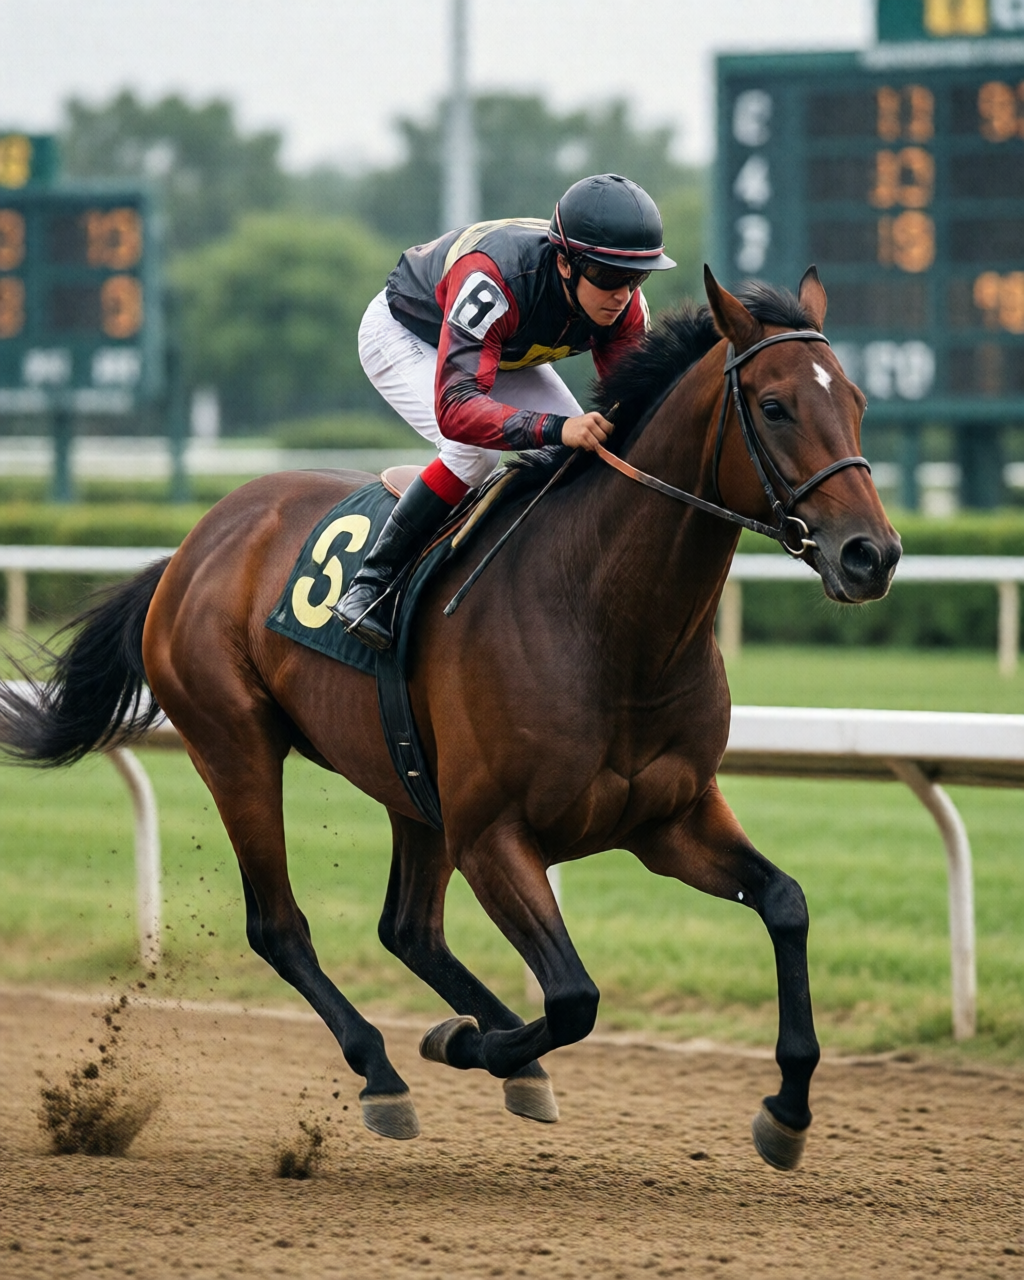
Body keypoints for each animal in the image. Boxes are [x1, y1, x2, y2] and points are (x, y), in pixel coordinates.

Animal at [0, 267, 900, 1170]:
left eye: (857, 399)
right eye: (776, 406)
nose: (873, 554)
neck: (608, 620)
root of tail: (191, 547)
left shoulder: (668, 818)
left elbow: (785, 903)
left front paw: (788, 1107)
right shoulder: (493, 833)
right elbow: (573, 996)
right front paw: (462, 1043)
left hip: (409, 783)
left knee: (409, 930)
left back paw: (498, 1052)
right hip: (236, 748)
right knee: (281, 927)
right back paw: (387, 1071)